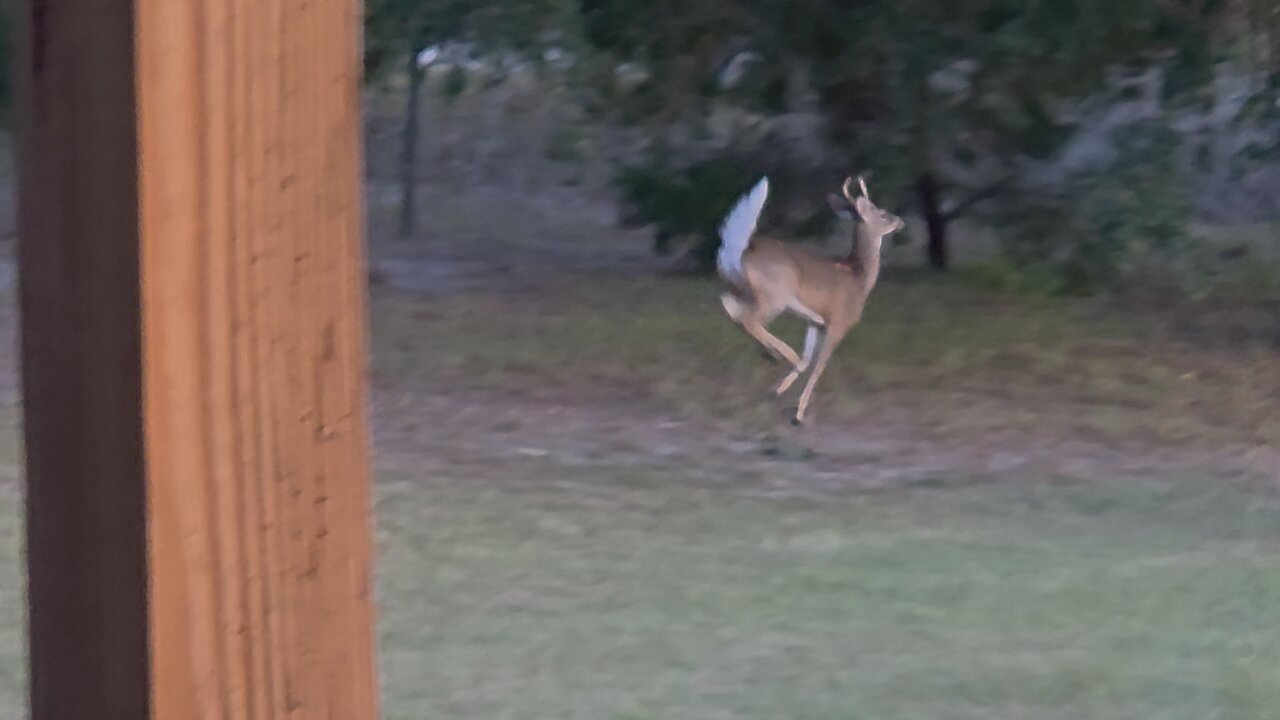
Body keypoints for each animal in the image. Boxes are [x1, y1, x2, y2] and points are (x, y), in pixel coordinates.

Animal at [716, 174, 904, 426]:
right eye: (882, 213)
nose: (900, 220)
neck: (859, 277)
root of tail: (741, 251)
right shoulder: (838, 323)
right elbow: (818, 365)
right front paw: (798, 415)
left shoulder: (815, 322)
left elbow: (809, 360)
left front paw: (775, 392)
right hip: (774, 297)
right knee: (749, 319)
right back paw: (784, 356)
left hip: (743, 288)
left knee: (730, 306)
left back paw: (771, 354)